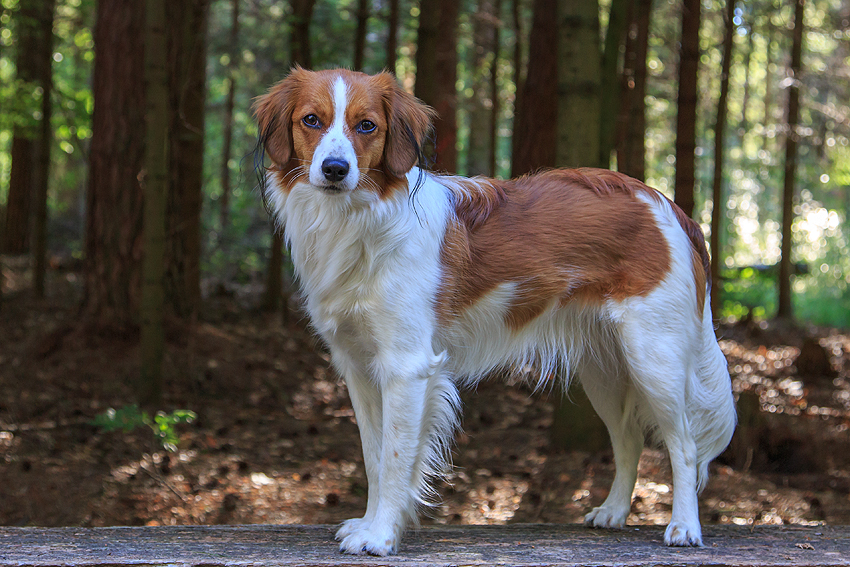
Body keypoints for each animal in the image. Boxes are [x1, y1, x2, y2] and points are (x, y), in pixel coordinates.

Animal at [253, 66, 736, 556]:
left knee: (684, 444)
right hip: (603, 369)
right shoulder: (359, 367)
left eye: (366, 125)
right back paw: (614, 512)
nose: (335, 169)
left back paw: (684, 526)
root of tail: (666, 204)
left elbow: (394, 458)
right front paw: (370, 524)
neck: (357, 220)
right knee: (629, 440)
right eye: (311, 120)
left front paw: (382, 535)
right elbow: (374, 457)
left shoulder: (407, 367)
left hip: (654, 358)